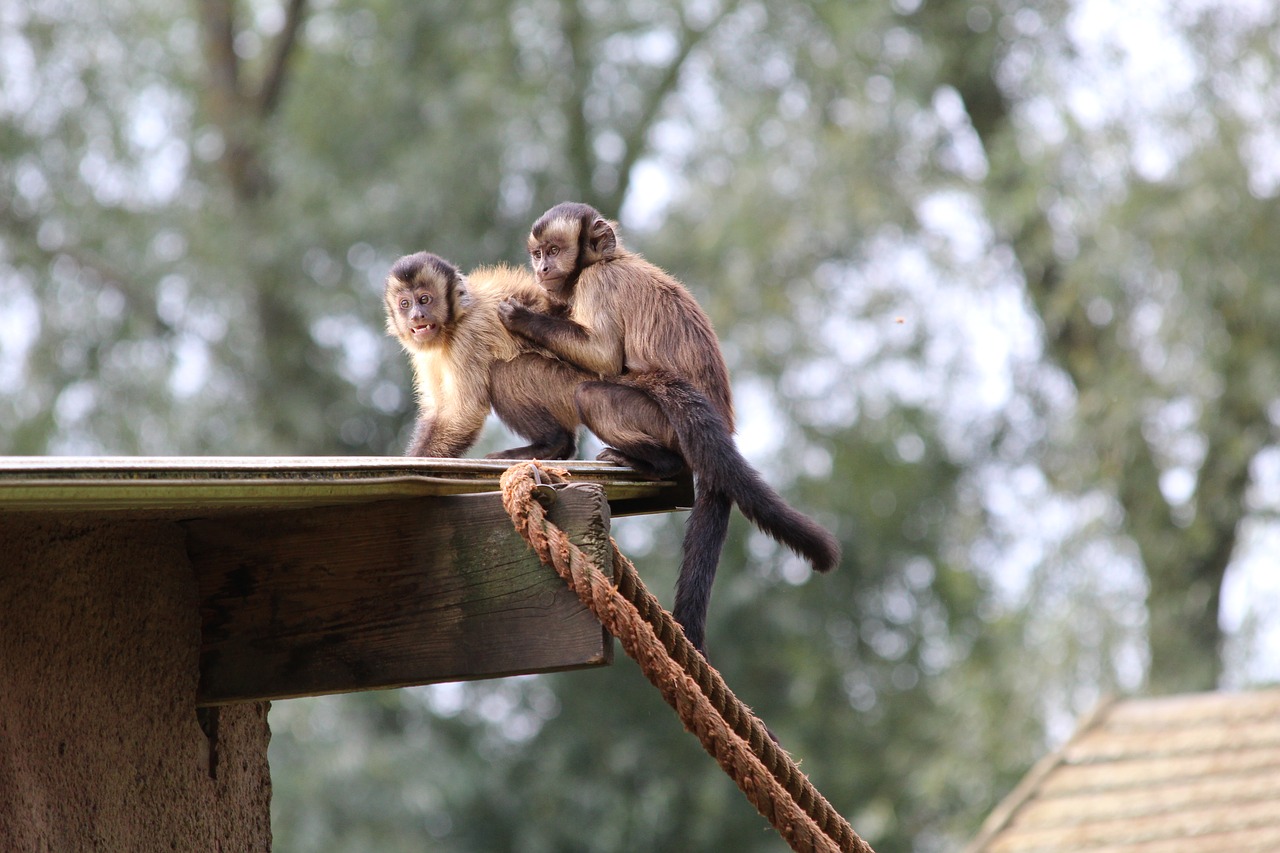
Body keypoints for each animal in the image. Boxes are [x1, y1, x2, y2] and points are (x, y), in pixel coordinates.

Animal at [381, 249, 586, 458]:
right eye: (405, 304)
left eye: (424, 299)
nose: (416, 316)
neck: (454, 323)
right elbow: (437, 407)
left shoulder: (467, 335)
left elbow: (465, 414)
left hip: (575, 387)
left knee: (505, 372)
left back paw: (553, 443)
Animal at [496, 201, 839, 650]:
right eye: (538, 254)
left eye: (554, 250)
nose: (542, 267)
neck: (604, 261)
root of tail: (722, 425)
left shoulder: (598, 283)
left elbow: (604, 355)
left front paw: (523, 318)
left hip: (665, 424)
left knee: (592, 393)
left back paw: (655, 463)